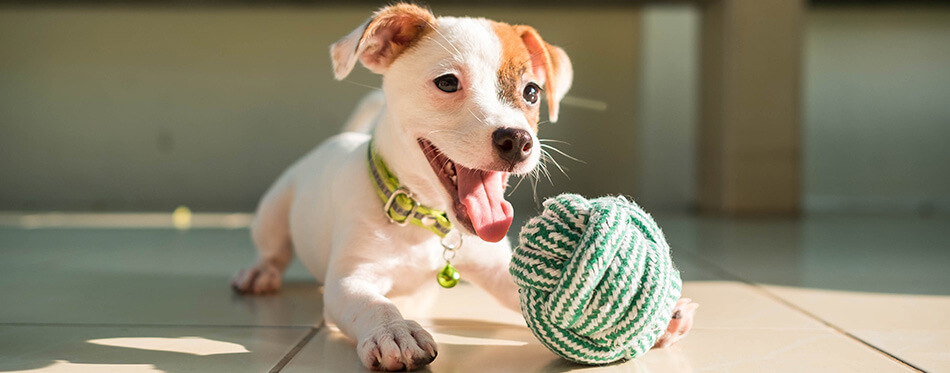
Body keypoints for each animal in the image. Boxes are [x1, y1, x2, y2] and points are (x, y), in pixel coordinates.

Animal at [237, 3, 696, 370]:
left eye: (532, 91)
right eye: (447, 82)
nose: (517, 140)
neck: (425, 221)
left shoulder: (500, 268)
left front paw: (655, 316)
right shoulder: (351, 279)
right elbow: (374, 303)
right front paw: (396, 329)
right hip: (274, 211)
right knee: (272, 248)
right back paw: (260, 272)